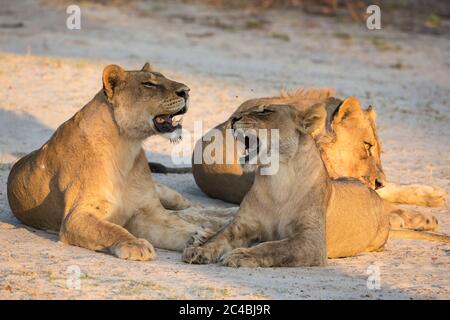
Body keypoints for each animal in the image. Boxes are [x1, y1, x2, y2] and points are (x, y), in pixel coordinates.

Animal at [6, 63, 221, 262]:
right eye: (148, 84)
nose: (187, 91)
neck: (125, 146)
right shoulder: (75, 217)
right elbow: (110, 229)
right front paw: (135, 244)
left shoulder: (146, 211)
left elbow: (173, 228)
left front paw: (200, 237)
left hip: (167, 195)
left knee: (191, 209)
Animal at [183, 104, 450, 268]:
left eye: (265, 111)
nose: (233, 119)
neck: (276, 179)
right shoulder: (241, 226)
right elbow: (220, 236)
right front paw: (199, 250)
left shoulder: (310, 242)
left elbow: (275, 247)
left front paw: (241, 254)